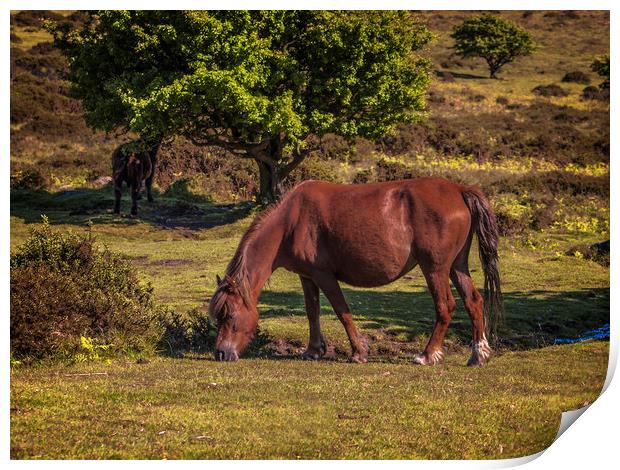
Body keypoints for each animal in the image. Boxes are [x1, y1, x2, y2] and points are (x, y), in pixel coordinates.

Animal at [211, 178, 502, 366]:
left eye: (230, 315)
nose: (220, 353)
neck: (291, 221)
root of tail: (459, 190)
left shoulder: (324, 276)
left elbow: (342, 311)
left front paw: (358, 351)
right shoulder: (307, 277)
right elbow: (312, 312)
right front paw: (313, 350)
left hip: (435, 268)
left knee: (445, 306)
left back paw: (427, 354)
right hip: (456, 266)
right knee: (473, 301)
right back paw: (478, 354)